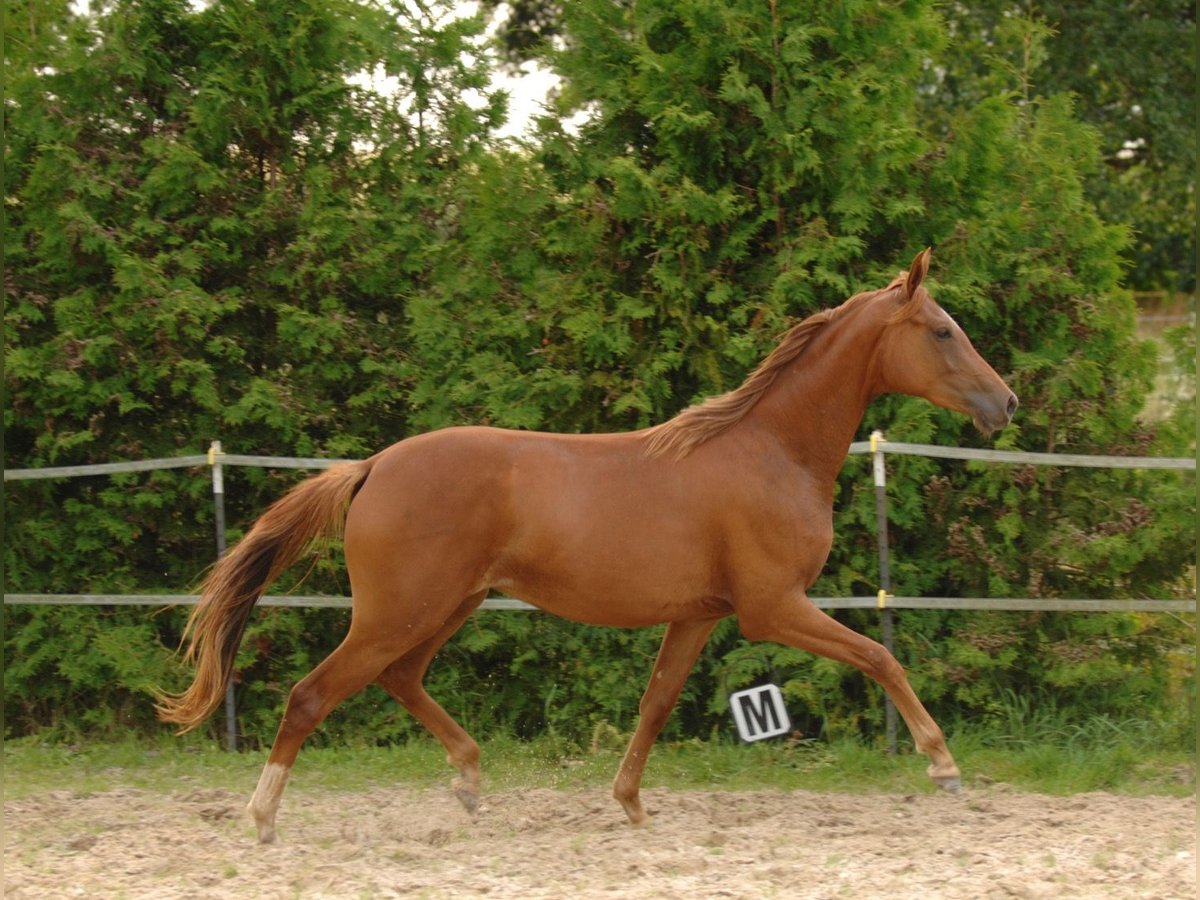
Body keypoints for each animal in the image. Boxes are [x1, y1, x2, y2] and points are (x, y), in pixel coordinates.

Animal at [157, 248, 1012, 844]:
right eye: (943, 331)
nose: (1004, 402)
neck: (772, 452)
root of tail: (370, 469)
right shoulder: (773, 608)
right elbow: (880, 656)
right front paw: (944, 765)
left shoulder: (699, 614)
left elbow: (656, 703)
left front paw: (630, 806)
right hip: (401, 611)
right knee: (313, 695)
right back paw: (263, 819)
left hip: (444, 606)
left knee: (399, 678)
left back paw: (469, 782)